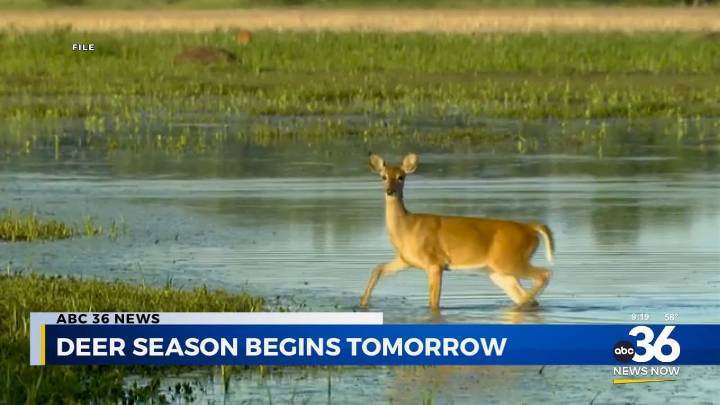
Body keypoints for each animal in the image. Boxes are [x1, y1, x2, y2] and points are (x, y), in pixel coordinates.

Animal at [360, 152, 555, 311]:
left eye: (401, 177)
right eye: (383, 177)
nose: (390, 191)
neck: (407, 228)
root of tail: (530, 228)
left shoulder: (435, 263)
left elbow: (433, 302)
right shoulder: (406, 260)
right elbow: (377, 269)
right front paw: (362, 303)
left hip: (511, 261)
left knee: (544, 275)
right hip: (499, 272)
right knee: (528, 294)